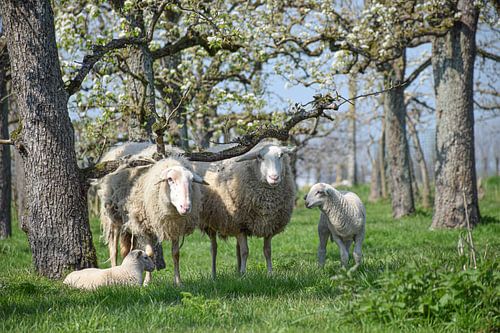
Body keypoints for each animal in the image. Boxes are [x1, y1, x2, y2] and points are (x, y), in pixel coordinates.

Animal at [193, 140, 296, 278]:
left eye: (281, 155)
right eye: (260, 157)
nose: (274, 178)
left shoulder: (269, 225)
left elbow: (267, 251)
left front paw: (269, 273)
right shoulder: (239, 224)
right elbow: (245, 252)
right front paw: (243, 274)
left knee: (237, 248)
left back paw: (237, 270)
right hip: (210, 222)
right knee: (214, 248)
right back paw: (214, 275)